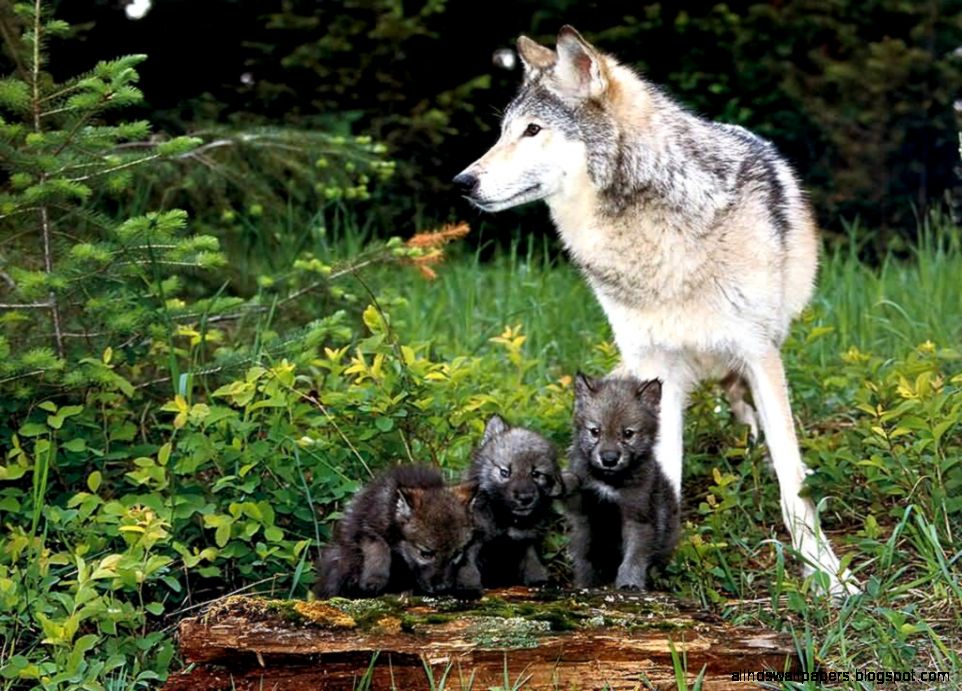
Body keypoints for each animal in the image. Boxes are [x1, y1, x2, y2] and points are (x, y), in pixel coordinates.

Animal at [313, 464, 481, 598]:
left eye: (456, 554)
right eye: (425, 554)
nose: (441, 588)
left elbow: (467, 561)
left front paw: (468, 584)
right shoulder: (368, 530)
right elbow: (380, 549)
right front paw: (375, 579)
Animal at [465, 415, 562, 586]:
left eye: (536, 474)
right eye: (505, 472)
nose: (525, 498)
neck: (506, 520)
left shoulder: (528, 542)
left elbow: (534, 568)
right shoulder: (476, 544)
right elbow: (469, 572)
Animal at [566, 373, 679, 590]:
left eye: (628, 434)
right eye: (595, 431)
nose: (609, 459)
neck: (609, 481)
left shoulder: (637, 518)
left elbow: (633, 557)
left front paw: (629, 584)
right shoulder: (584, 516)